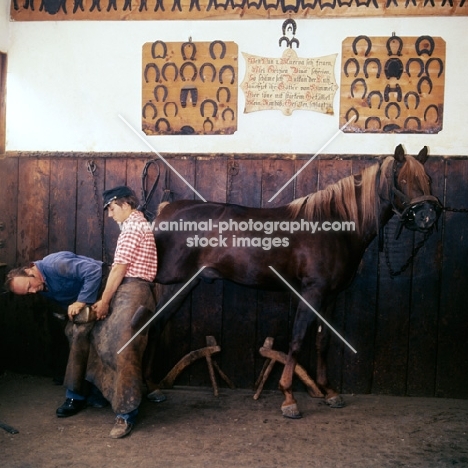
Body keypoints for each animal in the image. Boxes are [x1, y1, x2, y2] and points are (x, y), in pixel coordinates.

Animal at [150, 144, 442, 418]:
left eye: (428, 178)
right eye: (403, 180)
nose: (427, 216)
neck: (333, 228)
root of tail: (164, 211)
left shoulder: (330, 296)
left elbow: (323, 341)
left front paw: (329, 391)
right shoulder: (312, 293)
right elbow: (298, 339)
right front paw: (288, 397)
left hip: (181, 286)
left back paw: (153, 387)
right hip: (172, 285)